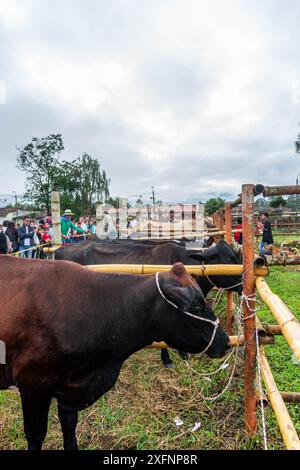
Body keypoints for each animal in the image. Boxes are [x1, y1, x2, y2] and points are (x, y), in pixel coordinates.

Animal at [0, 258, 230, 452]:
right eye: (196, 305)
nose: (226, 342)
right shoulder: (33, 385)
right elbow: (36, 434)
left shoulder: (70, 389)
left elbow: (70, 428)